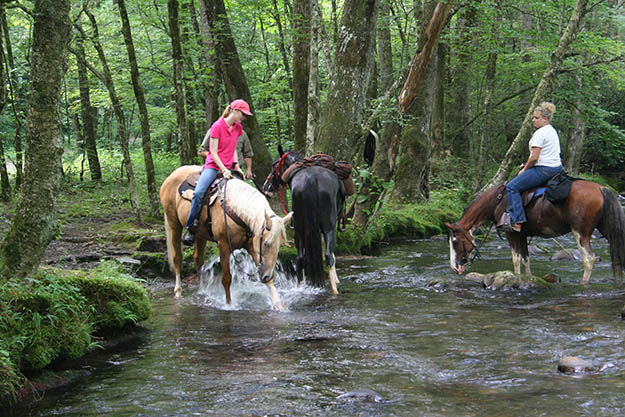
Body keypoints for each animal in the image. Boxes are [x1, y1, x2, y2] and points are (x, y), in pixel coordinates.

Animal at [158, 164, 290, 308]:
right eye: (266, 243)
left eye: (280, 245)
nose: (267, 275)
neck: (236, 208)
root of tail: (173, 174)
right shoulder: (224, 244)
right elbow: (226, 278)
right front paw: (228, 305)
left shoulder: (251, 246)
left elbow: (268, 282)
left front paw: (280, 306)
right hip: (173, 223)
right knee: (177, 258)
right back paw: (178, 291)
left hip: (200, 234)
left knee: (198, 258)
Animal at [260, 150, 344, 292]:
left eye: (274, 165)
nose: (266, 187)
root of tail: (311, 179)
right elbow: (332, 255)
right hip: (328, 229)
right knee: (328, 256)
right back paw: (334, 290)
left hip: (299, 230)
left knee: (300, 258)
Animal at [444, 180, 624, 284]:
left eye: (455, 242)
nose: (455, 267)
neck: (497, 202)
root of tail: (602, 188)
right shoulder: (522, 235)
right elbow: (526, 259)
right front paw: (528, 279)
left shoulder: (512, 234)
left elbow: (516, 259)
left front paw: (515, 279)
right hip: (604, 228)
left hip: (581, 232)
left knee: (588, 259)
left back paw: (583, 283)